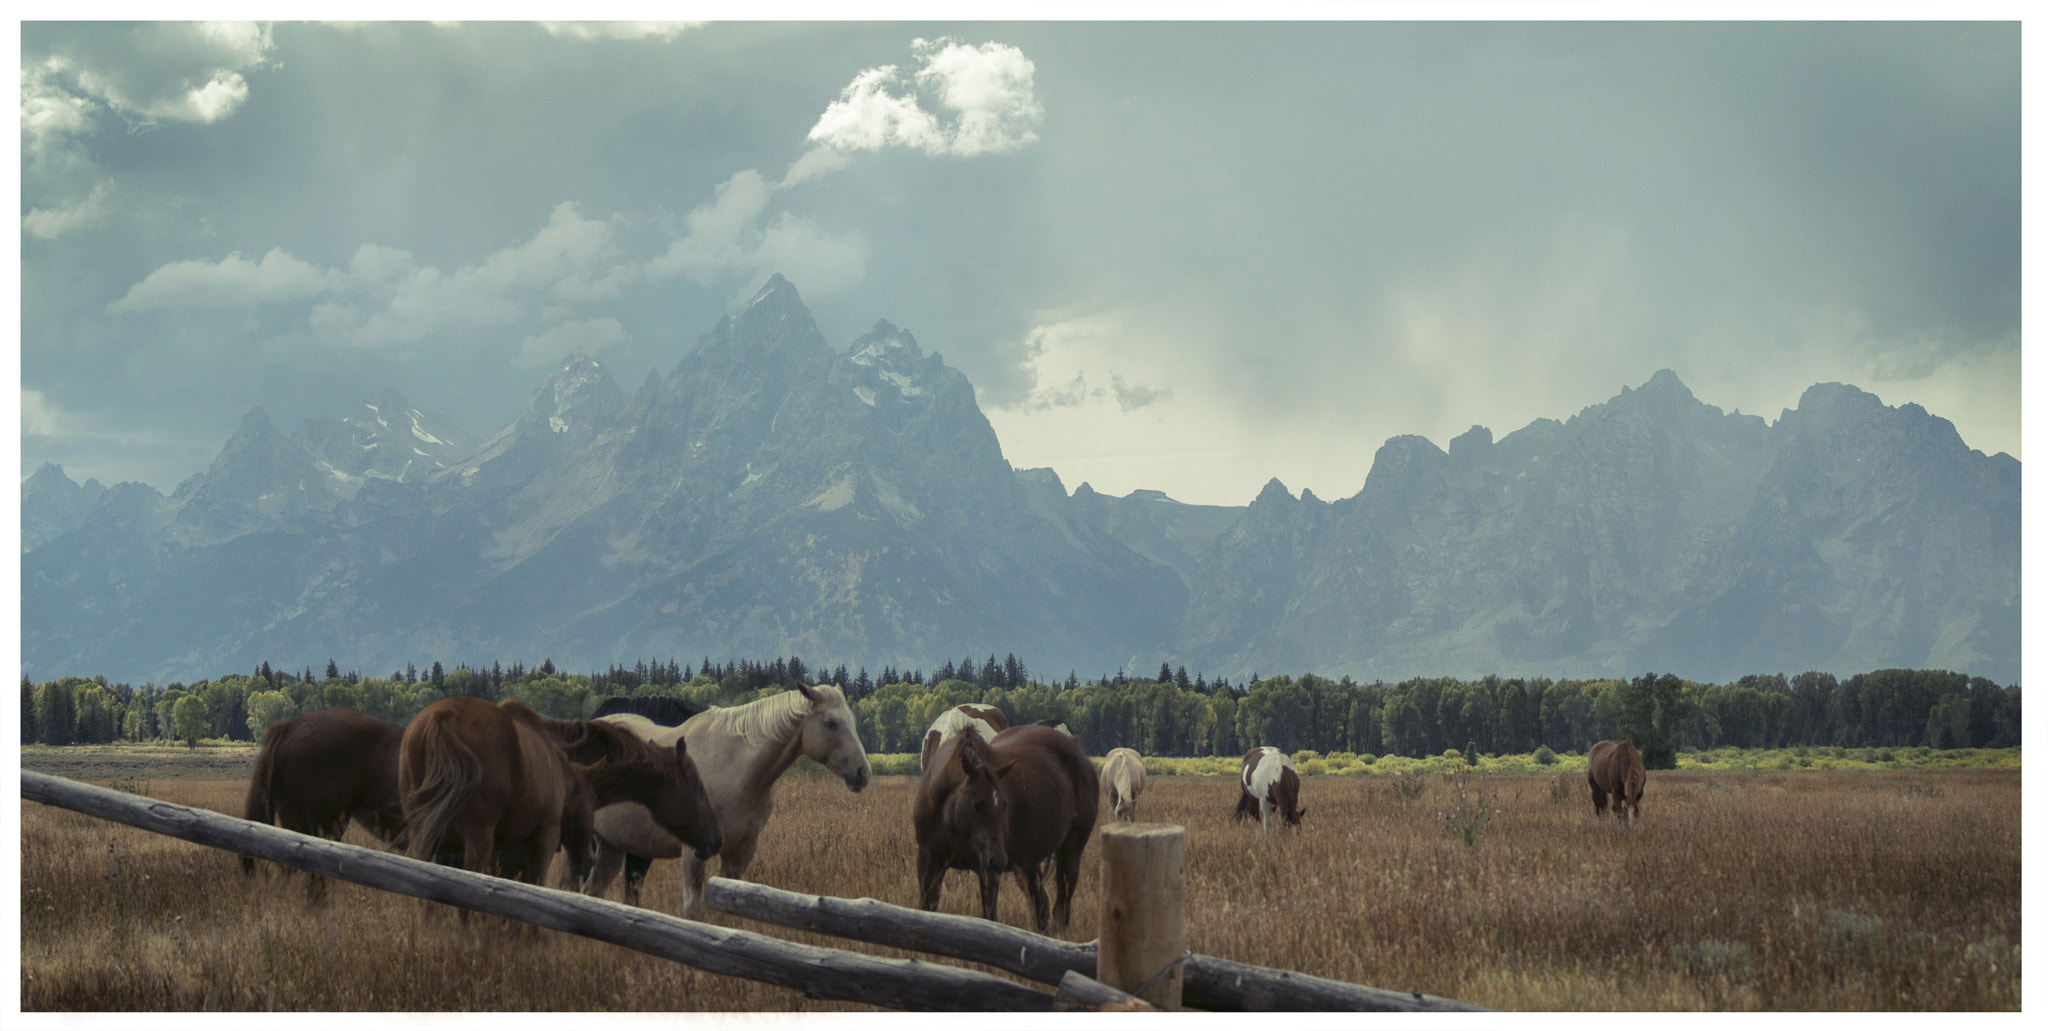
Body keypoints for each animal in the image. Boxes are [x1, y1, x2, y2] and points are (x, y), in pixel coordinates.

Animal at [584, 683, 870, 918]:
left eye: (853, 721)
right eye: (831, 723)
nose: (863, 773)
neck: (732, 768)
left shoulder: (740, 852)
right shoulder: (694, 853)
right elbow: (693, 910)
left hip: (613, 845)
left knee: (593, 891)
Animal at [914, 723, 1099, 935]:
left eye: (1005, 804)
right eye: (977, 804)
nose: (999, 860)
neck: (950, 815)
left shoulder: (987, 872)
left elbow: (989, 917)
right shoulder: (929, 861)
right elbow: (927, 908)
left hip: (1070, 853)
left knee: (1061, 906)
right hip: (1027, 864)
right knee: (1041, 906)